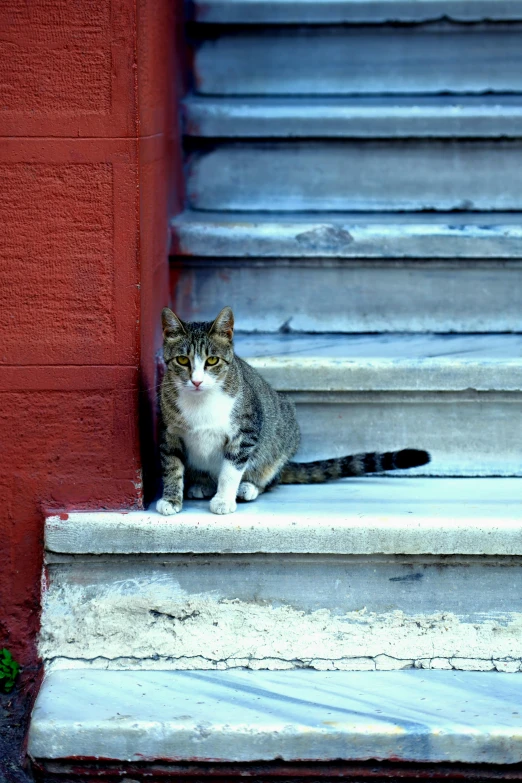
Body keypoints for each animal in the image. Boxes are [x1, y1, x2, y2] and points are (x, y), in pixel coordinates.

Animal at [156, 306, 428, 516]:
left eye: (212, 361)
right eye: (182, 360)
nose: (197, 381)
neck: (200, 400)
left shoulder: (247, 430)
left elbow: (231, 469)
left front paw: (224, 499)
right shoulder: (169, 432)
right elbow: (171, 466)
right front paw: (171, 499)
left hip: (283, 435)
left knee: (270, 476)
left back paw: (248, 487)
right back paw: (201, 484)